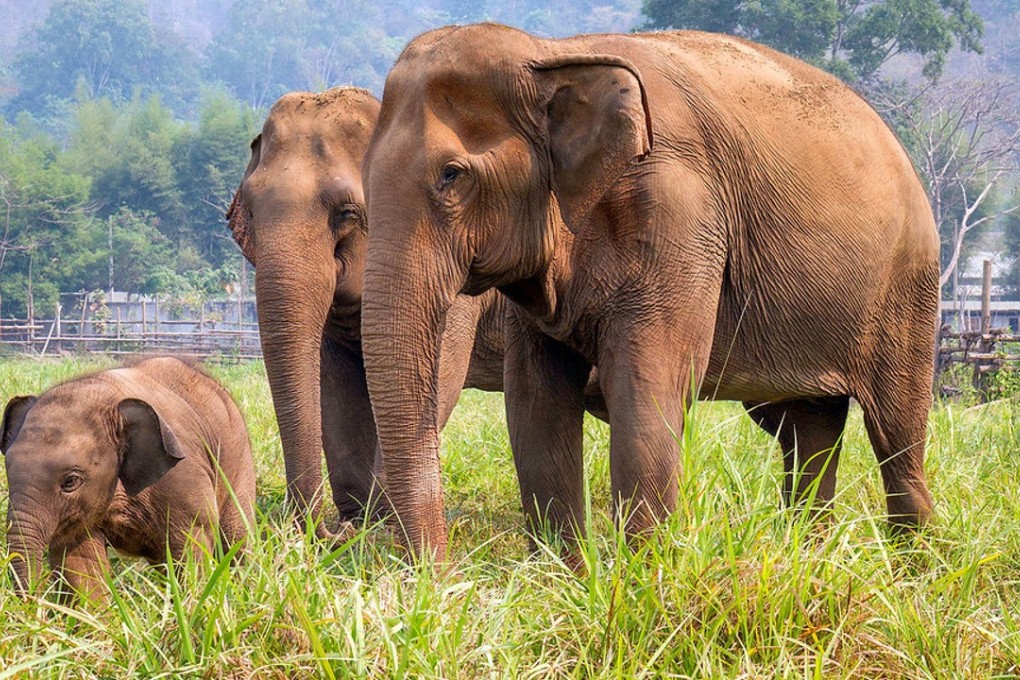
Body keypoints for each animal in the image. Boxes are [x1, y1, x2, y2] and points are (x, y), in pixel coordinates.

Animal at [1, 357, 255, 599]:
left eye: (70, 481)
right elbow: (79, 562)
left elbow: (191, 543)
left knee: (236, 538)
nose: (34, 602)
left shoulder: (183, 475)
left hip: (239, 458)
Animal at [225, 87, 511, 537]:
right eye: (248, 213)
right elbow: (335, 383)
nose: (321, 531)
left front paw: (377, 526)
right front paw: (360, 524)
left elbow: (435, 376)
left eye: (345, 213)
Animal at [360, 24, 940, 558]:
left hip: (907, 290)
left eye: (451, 176)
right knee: (807, 430)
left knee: (895, 435)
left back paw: (913, 563)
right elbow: (535, 401)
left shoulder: (679, 210)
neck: (554, 53)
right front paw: (568, 579)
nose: (439, 575)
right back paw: (809, 555)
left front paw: (642, 576)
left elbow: (646, 388)